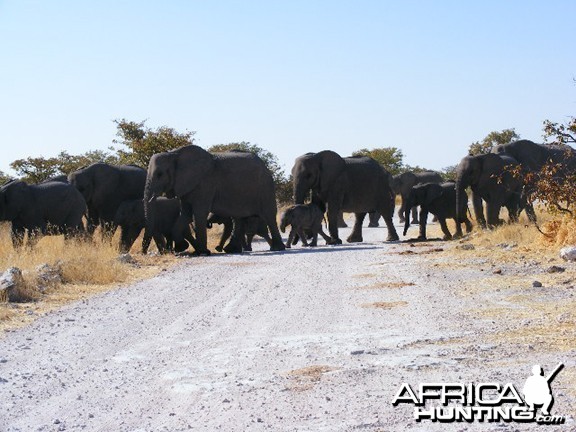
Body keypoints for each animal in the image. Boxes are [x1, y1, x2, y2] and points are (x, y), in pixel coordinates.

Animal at [143, 145, 284, 255]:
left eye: (160, 174)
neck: (174, 154)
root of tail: (264, 165)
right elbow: (185, 214)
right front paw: (182, 248)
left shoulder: (205, 184)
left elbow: (199, 213)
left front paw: (202, 252)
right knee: (238, 218)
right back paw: (231, 250)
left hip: (265, 186)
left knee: (269, 215)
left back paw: (277, 248)